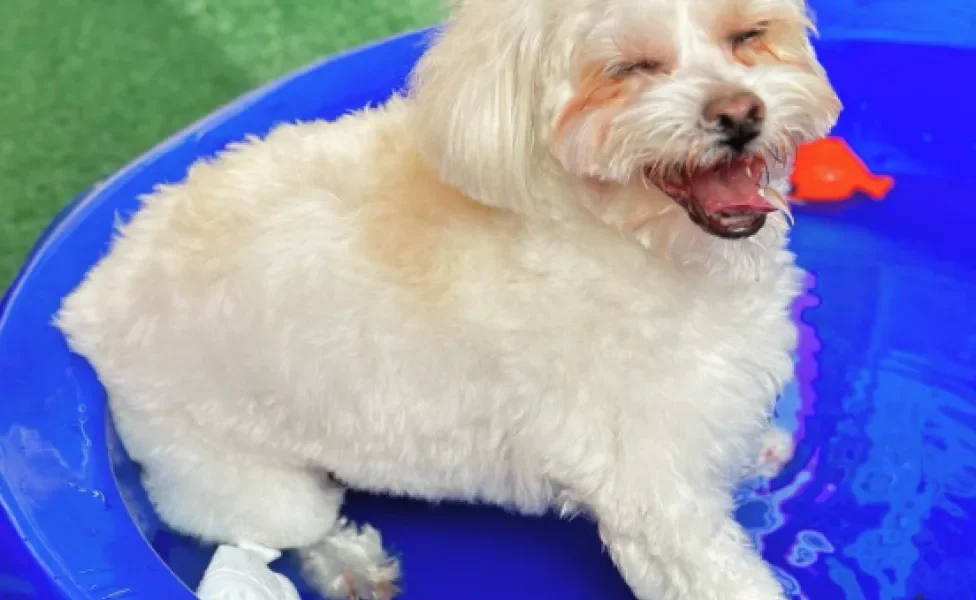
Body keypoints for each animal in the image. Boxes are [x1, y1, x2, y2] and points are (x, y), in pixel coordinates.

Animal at [59, 0, 840, 596]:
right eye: (630, 69)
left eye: (748, 35)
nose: (739, 113)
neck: (629, 240)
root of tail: (92, 295)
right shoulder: (654, 499)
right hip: (220, 461)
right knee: (275, 535)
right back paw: (348, 564)